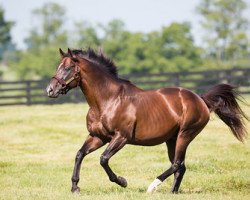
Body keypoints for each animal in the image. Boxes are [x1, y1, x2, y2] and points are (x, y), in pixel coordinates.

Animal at [46, 48, 247, 194]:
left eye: (67, 68)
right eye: (58, 66)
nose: (50, 90)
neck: (108, 100)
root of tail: (200, 99)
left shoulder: (121, 137)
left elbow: (103, 159)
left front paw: (122, 181)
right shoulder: (97, 137)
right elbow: (79, 154)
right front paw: (75, 187)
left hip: (185, 134)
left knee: (176, 164)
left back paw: (152, 186)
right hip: (172, 139)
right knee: (180, 166)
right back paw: (172, 192)